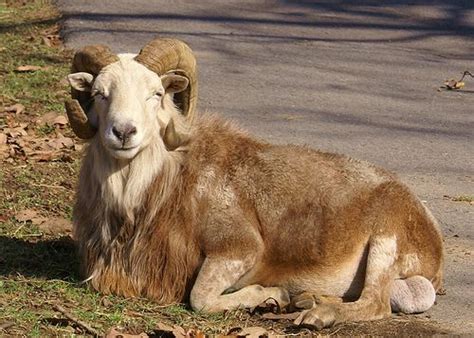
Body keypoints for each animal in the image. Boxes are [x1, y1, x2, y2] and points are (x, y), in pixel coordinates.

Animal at [65, 37, 444, 330]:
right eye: (100, 93)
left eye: (155, 93)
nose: (123, 132)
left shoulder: (238, 250)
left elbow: (200, 299)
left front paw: (271, 296)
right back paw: (307, 300)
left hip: (384, 243)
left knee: (375, 303)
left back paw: (316, 315)